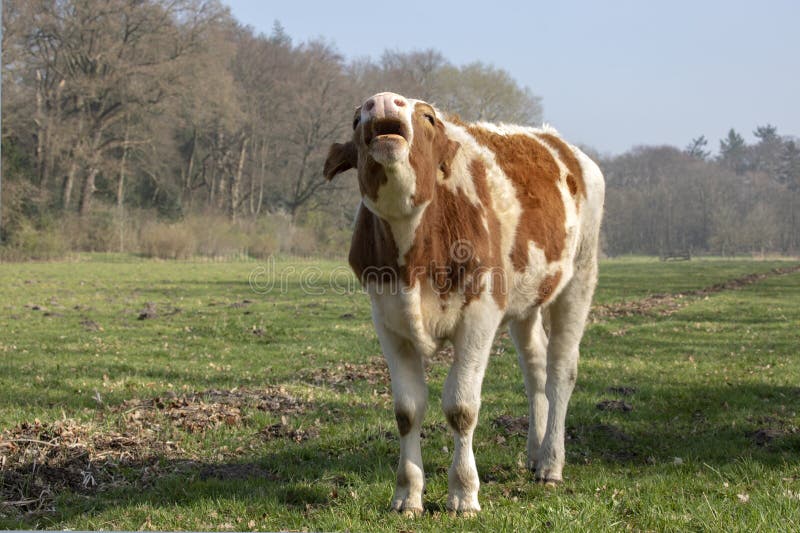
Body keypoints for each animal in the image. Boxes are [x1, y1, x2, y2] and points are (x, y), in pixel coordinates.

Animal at [322, 91, 604, 516]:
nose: (383, 101)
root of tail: (560, 143)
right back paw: (535, 453)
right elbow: (407, 410)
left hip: (580, 277)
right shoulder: (387, 320)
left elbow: (461, 407)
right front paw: (407, 495)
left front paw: (464, 492)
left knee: (561, 370)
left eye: (428, 117)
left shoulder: (480, 316)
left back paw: (552, 463)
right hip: (526, 300)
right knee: (535, 368)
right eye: (356, 118)